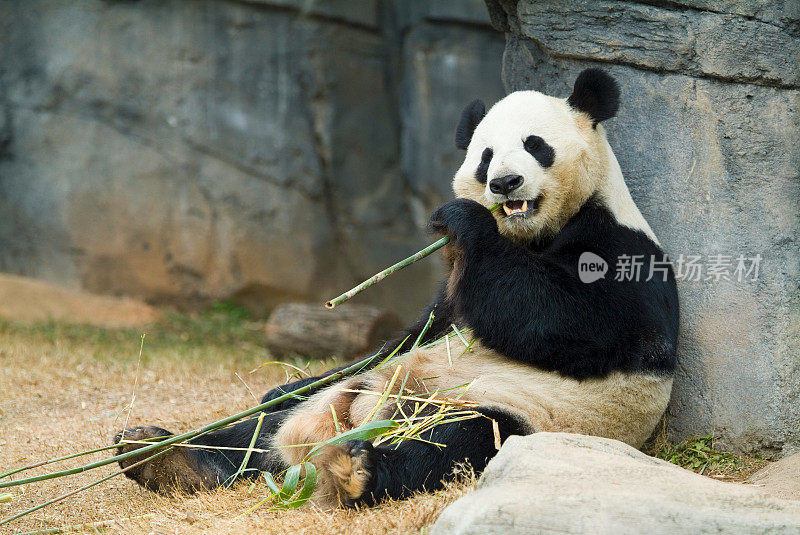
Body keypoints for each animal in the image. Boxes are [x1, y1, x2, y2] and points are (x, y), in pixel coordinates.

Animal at [114, 69, 676, 508]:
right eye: (486, 155)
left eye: (536, 145)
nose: (504, 184)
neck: (530, 233)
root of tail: (360, 417)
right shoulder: (447, 300)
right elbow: (420, 328)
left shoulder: (621, 248)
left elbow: (571, 322)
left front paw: (465, 221)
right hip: (344, 392)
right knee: (263, 423)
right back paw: (161, 453)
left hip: (519, 411)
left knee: (452, 443)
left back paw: (356, 471)